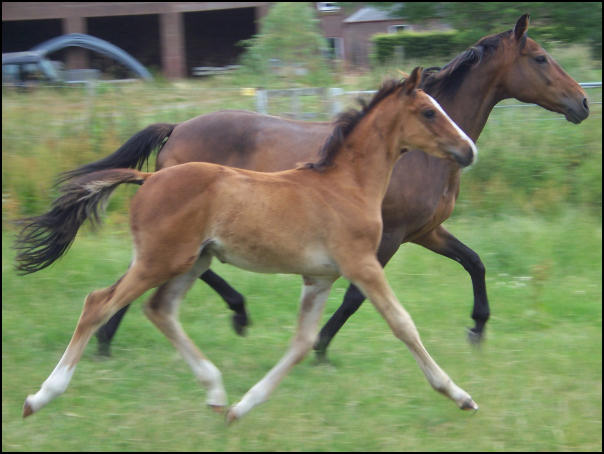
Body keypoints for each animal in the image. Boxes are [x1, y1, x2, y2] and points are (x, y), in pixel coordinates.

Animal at [18, 14, 588, 358]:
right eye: (540, 58)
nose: (582, 103)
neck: (410, 153)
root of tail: (176, 129)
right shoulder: (387, 237)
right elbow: (357, 296)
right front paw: (320, 348)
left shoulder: (424, 231)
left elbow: (475, 262)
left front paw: (478, 328)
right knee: (177, 271)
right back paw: (222, 315)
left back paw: (111, 339)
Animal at [20, 68, 482, 422]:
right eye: (429, 111)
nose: (469, 150)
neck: (345, 185)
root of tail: (149, 177)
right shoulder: (362, 263)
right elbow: (402, 324)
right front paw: (459, 395)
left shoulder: (318, 277)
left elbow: (302, 343)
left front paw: (242, 408)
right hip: (161, 259)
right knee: (99, 303)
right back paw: (41, 396)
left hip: (192, 261)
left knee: (159, 309)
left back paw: (215, 391)